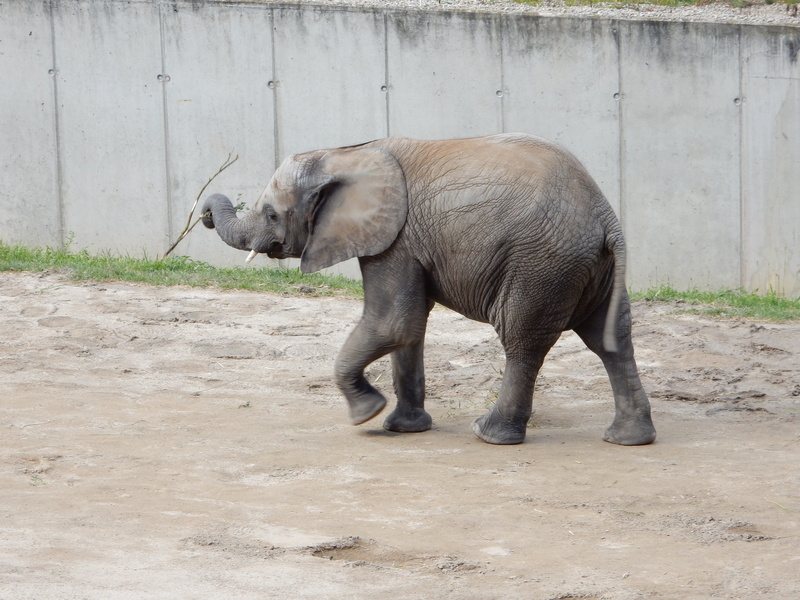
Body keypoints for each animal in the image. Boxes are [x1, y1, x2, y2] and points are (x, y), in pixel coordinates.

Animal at [201, 133, 656, 446]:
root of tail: (605, 216)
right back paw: (629, 439)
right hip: (589, 267)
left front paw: (365, 415)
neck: (343, 153)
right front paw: (403, 428)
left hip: (540, 262)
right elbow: (410, 328)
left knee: (522, 341)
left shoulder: (395, 238)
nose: (203, 213)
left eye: (271, 214)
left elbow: (393, 324)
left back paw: (489, 434)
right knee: (611, 339)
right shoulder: (402, 240)